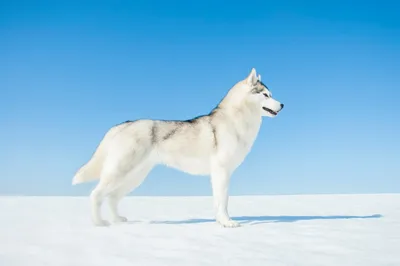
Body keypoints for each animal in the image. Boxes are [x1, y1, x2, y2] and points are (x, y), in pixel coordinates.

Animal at [72, 67, 284, 228]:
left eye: (271, 95)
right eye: (265, 95)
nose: (282, 104)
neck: (237, 121)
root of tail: (122, 125)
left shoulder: (218, 174)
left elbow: (218, 201)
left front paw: (219, 222)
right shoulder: (221, 171)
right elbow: (223, 200)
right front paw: (227, 223)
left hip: (135, 176)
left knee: (112, 198)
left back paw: (118, 220)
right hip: (120, 172)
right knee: (96, 195)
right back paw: (100, 223)